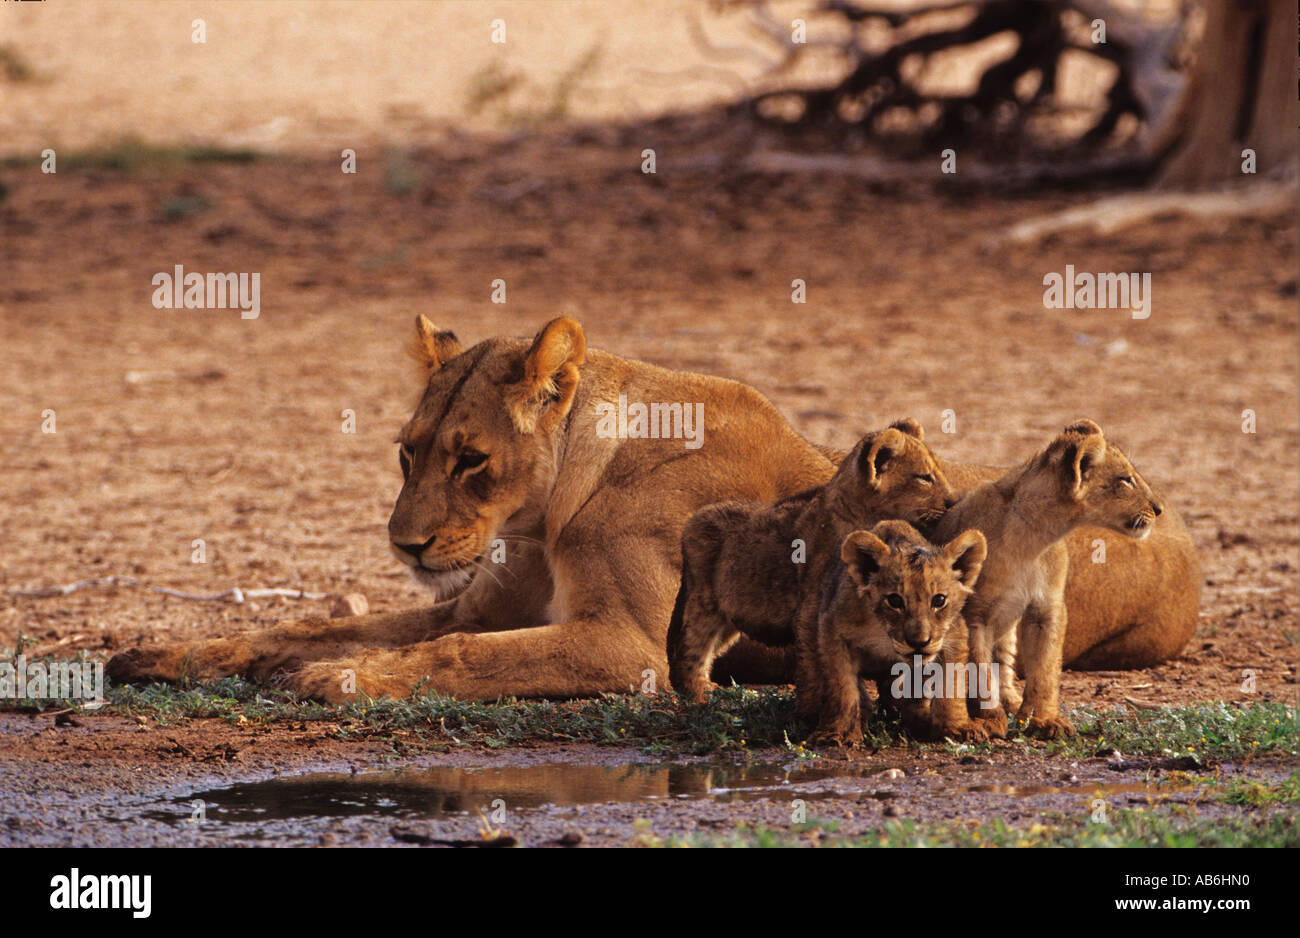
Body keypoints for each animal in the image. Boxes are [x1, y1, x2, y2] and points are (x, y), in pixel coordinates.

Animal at [666, 418, 954, 703]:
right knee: (692, 647)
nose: (953, 502)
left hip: (730, 619)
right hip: (705, 606)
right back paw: (700, 692)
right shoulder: (814, 609)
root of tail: (695, 518)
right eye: (924, 478)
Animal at [804, 520, 986, 748]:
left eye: (939, 600)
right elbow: (842, 688)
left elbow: (951, 687)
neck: (884, 632)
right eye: (894, 600)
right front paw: (837, 732)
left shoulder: (954, 635)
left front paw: (957, 728)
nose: (919, 642)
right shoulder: (832, 629)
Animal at [928, 419, 1165, 740]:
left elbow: (1045, 669)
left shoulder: (1047, 609)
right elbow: (980, 671)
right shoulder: (974, 615)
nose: (1159, 509)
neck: (1036, 537)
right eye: (1126, 480)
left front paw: (1043, 720)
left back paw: (1013, 702)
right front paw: (990, 720)